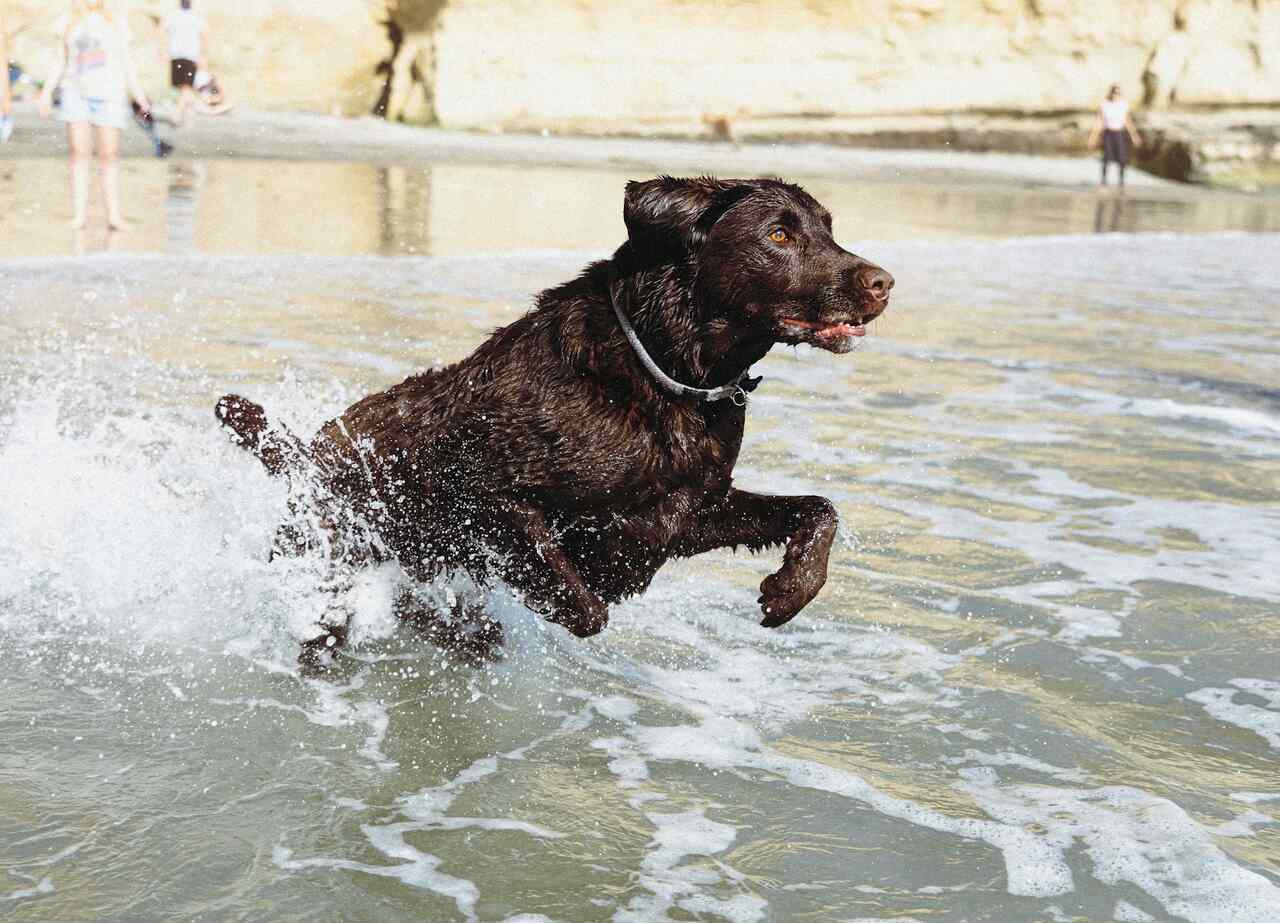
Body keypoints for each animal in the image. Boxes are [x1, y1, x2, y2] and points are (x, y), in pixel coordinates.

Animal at [217, 177, 890, 670]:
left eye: (829, 230)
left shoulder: (686, 513)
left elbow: (819, 510)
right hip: (329, 556)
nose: (883, 283)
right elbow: (584, 604)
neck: (662, 375)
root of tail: (307, 451)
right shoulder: (490, 492)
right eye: (779, 233)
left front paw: (790, 590)